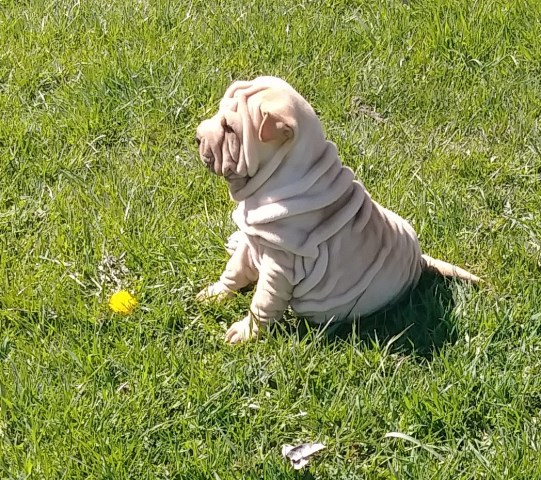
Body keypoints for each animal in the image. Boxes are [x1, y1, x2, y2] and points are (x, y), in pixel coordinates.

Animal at [193, 77, 476, 344]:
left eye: (229, 128)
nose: (196, 136)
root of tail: (419, 261)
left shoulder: (280, 266)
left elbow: (262, 302)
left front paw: (245, 332)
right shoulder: (254, 239)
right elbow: (234, 270)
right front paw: (215, 294)